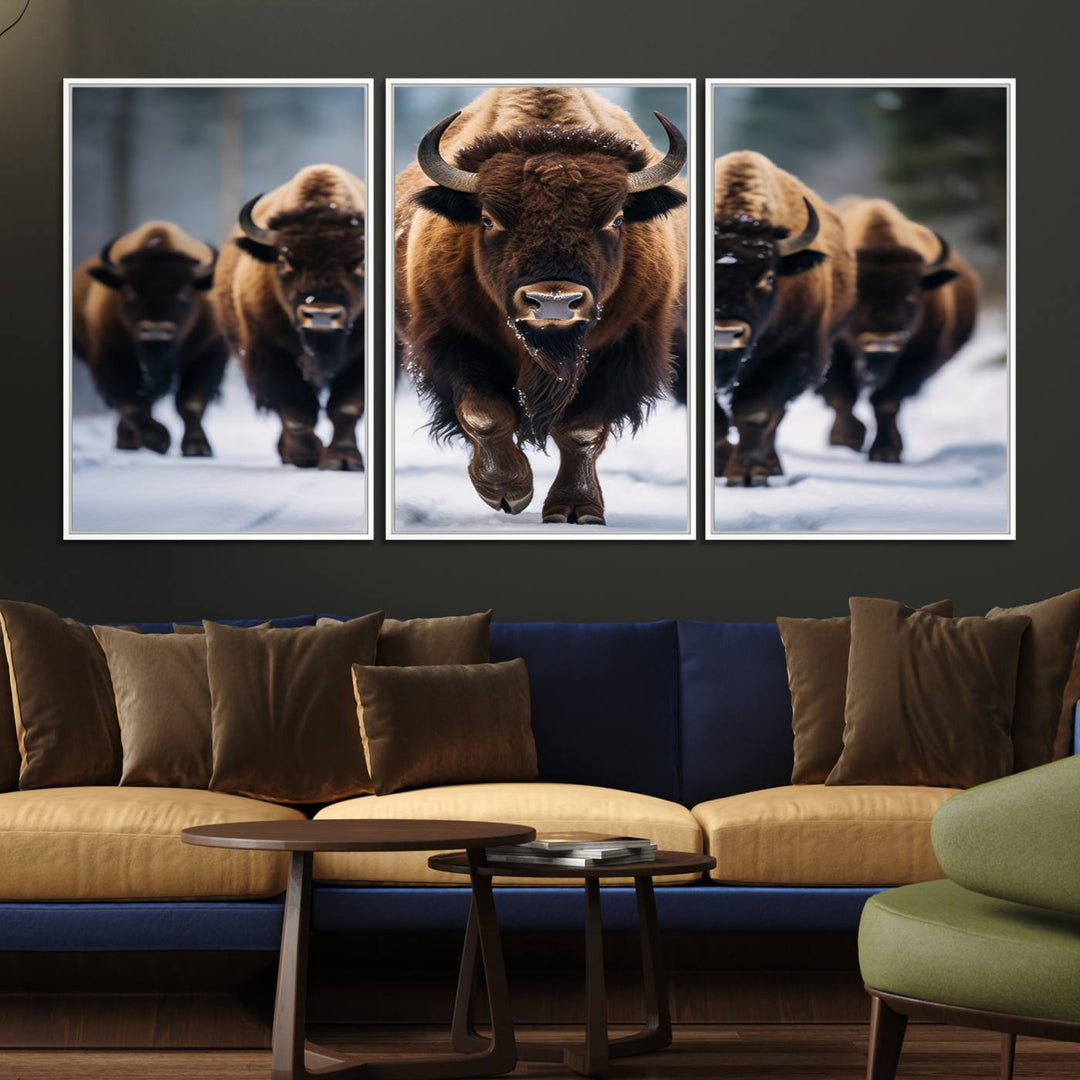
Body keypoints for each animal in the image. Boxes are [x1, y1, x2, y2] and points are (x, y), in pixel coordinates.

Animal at [70, 219, 226, 455]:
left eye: (186, 291)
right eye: (128, 290)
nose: (155, 332)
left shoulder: (207, 354)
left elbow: (190, 403)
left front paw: (197, 447)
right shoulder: (112, 357)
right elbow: (133, 405)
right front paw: (158, 439)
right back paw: (127, 442)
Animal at [212, 164, 369, 468]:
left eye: (362, 263)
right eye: (283, 261)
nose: (321, 314)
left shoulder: (361, 360)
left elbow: (345, 406)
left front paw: (342, 459)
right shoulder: (271, 352)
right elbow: (296, 408)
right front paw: (307, 455)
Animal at [395, 86, 682, 524]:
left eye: (616, 219)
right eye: (488, 219)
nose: (553, 302)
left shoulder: (624, 347)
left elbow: (582, 430)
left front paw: (576, 508)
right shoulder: (453, 339)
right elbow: (484, 413)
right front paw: (506, 491)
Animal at [712, 151, 855, 486]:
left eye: (767, 277)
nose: (723, 333)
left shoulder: (791, 354)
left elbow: (757, 413)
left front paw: (748, 474)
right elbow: (715, 420)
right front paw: (723, 466)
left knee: (775, 420)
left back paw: (771, 466)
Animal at [820, 198, 984, 460]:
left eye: (912, 294)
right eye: (856, 295)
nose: (883, 342)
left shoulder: (916, 358)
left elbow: (886, 402)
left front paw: (886, 452)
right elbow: (842, 397)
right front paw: (846, 441)